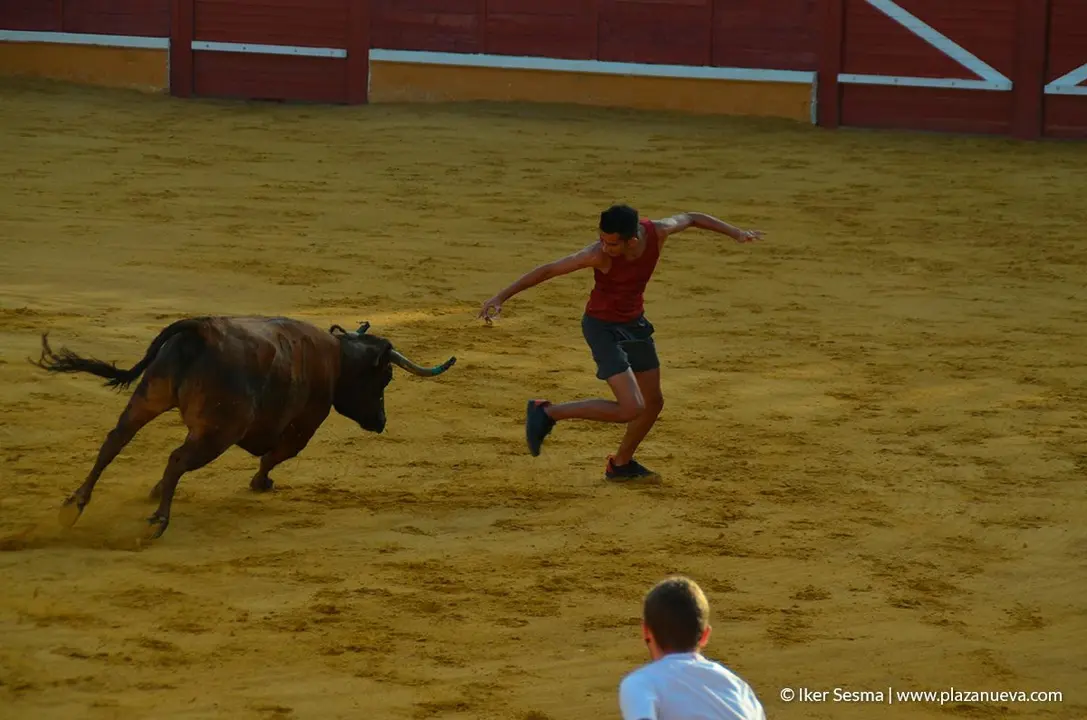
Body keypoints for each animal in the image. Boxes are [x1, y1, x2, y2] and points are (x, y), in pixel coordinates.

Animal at [31, 315, 456, 540]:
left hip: (148, 398)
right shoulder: (305, 424)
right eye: (385, 377)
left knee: (115, 441)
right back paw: (158, 521)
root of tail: (199, 329)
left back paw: (74, 506)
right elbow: (276, 455)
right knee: (176, 459)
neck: (336, 357)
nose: (381, 421)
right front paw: (261, 483)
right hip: (218, 432)